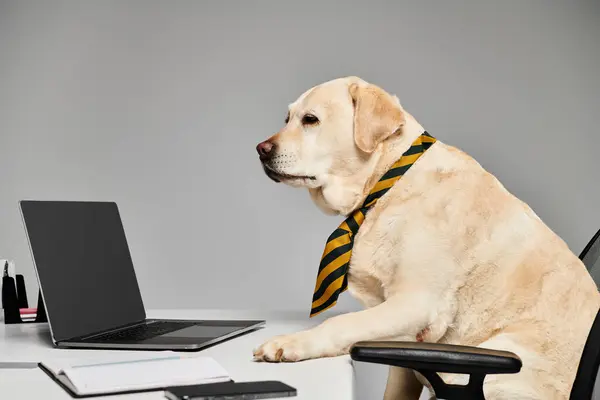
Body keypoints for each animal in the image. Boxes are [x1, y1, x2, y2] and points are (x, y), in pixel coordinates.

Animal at [252, 76, 600, 400]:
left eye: (310, 120)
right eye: (287, 118)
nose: (261, 150)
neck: (388, 182)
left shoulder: (416, 304)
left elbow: (341, 323)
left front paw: (290, 342)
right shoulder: (401, 343)